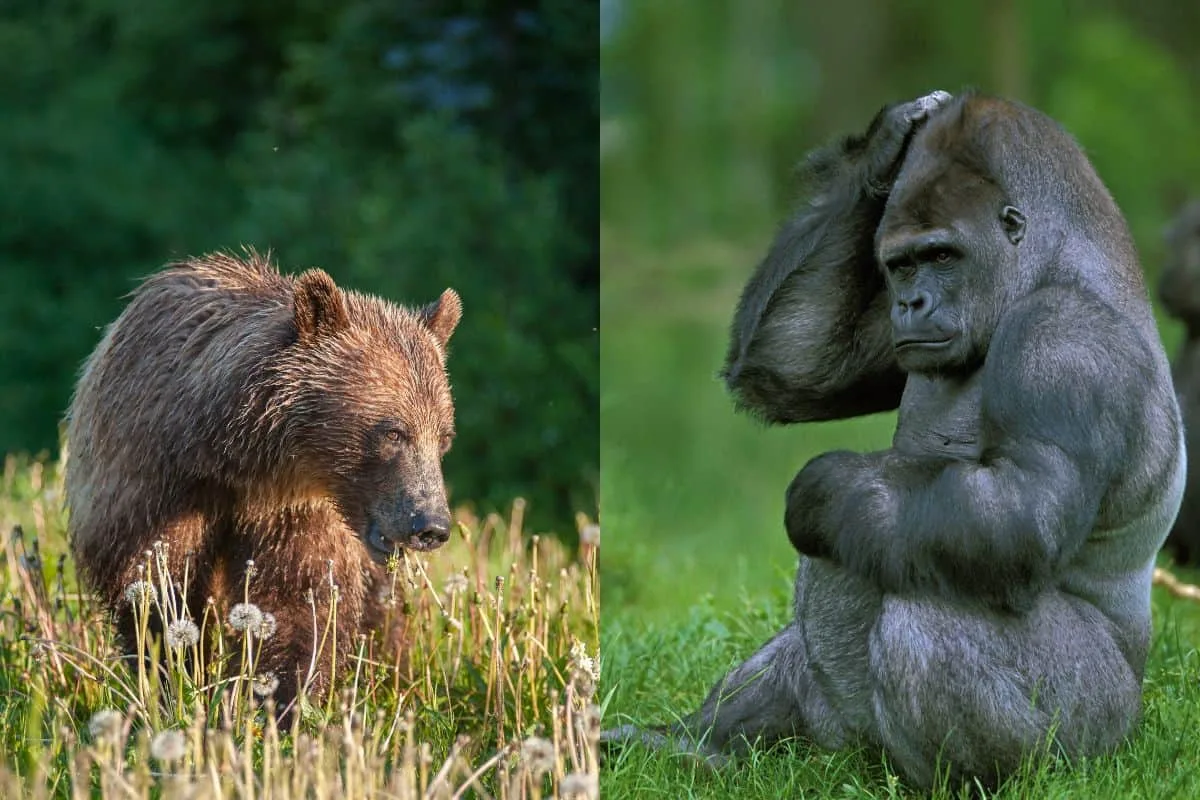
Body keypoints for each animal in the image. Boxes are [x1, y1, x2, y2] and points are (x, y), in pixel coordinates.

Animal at [65, 250, 462, 713]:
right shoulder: (151, 478)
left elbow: (295, 601)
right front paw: (175, 680)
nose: (431, 524)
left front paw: (278, 699)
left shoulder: (294, 509)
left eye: (444, 437)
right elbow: (157, 586)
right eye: (394, 432)